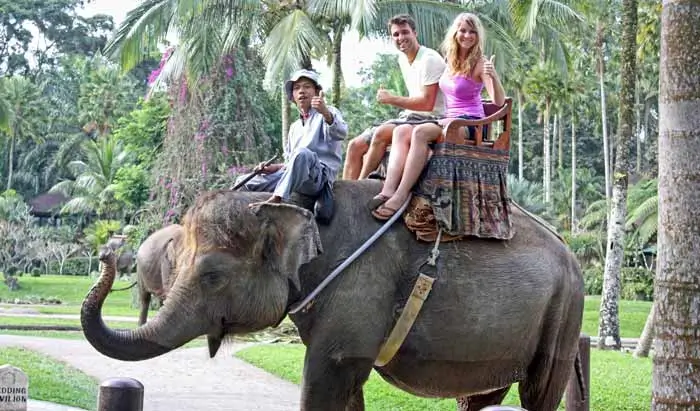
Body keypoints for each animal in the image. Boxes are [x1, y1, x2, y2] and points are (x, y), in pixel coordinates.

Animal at [81, 179, 584, 411]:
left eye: (212, 276)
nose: (106, 255)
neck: (299, 206)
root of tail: (571, 253)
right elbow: (347, 389)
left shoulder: (360, 290)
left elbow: (325, 379)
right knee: (480, 398)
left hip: (564, 314)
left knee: (540, 391)